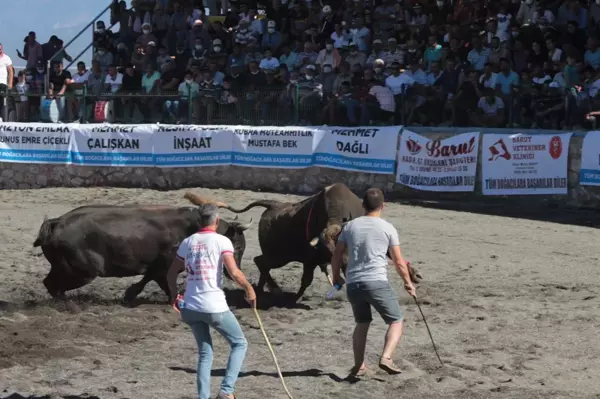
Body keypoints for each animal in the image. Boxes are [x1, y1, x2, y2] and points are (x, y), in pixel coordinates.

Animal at [31, 205, 252, 302]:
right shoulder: (165, 265)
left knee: (49, 283)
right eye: (238, 246)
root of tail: (57, 222)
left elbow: (153, 279)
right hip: (83, 272)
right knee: (55, 286)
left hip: (62, 267)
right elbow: (157, 280)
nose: (235, 273)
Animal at [184, 182, 422, 300]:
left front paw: (414, 275)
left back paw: (263, 288)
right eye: (332, 251)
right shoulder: (311, 258)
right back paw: (271, 289)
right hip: (281, 256)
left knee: (262, 262)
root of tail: (272, 204)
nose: (344, 270)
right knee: (261, 262)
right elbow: (306, 279)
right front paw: (296, 298)